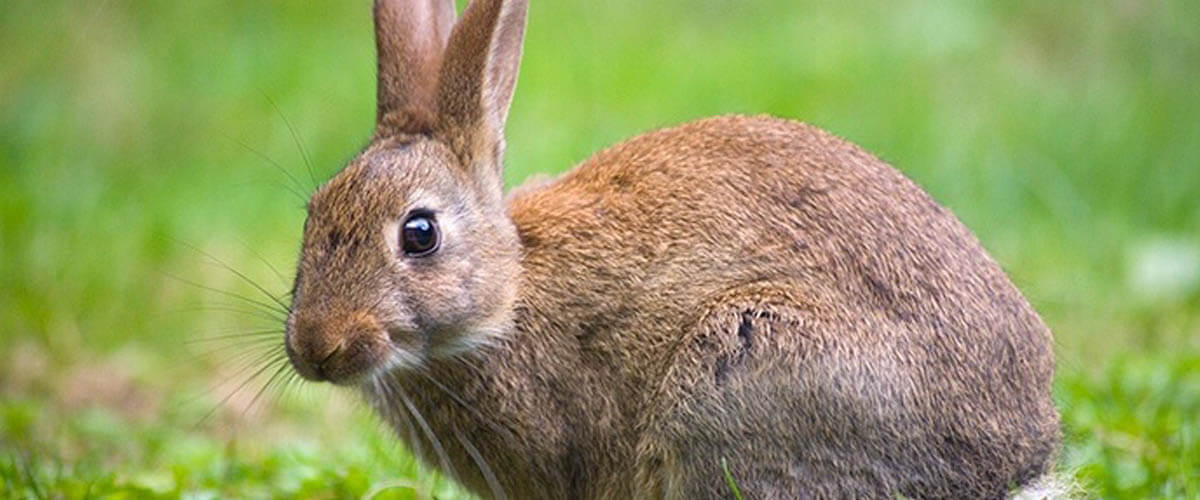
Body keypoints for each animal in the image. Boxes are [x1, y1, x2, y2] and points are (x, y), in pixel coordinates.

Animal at [281, 0, 1063, 498]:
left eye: (419, 233)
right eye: (312, 217)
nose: (317, 347)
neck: (509, 293)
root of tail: (1016, 458)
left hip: (744, 363)